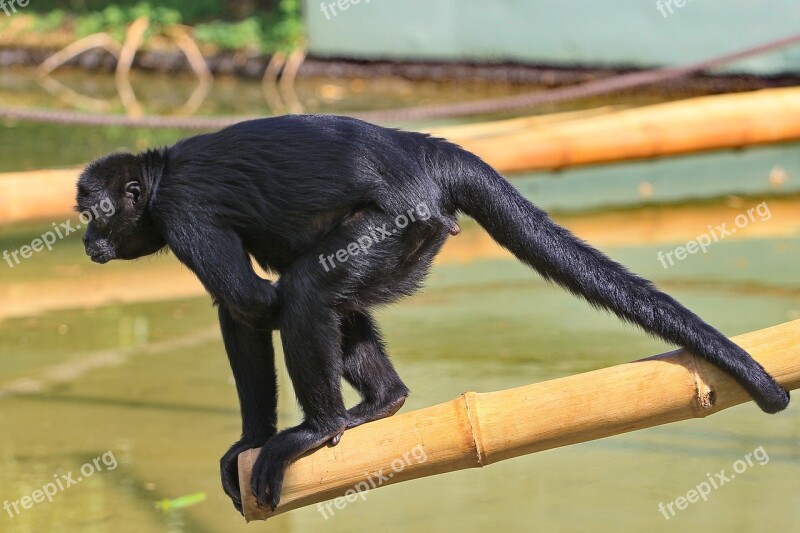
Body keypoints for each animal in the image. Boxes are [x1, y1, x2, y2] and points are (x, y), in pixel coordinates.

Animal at [78, 114, 792, 512]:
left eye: (94, 212)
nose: (86, 240)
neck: (162, 177)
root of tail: (420, 149)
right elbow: (256, 306)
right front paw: (249, 444)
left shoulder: (186, 215)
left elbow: (252, 304)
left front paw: (261, 441)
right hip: (409, 242)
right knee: (327, 292)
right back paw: (384, 401)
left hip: (402, 223)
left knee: (305, 289)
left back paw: (319, 427)